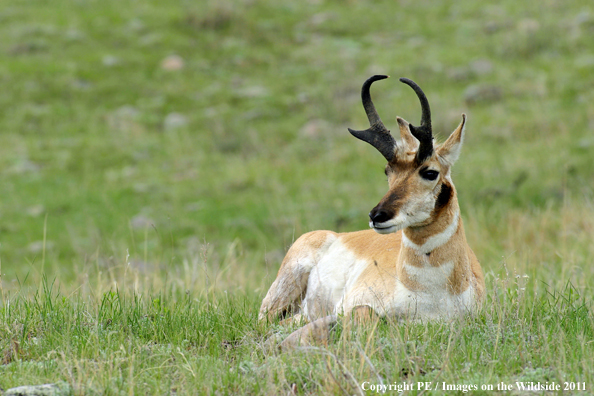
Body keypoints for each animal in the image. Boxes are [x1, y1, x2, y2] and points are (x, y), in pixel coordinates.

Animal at [260, 76, 480, 348]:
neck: (430, 292)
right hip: (282, 292)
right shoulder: (353, 306)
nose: (377, 216)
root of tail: (334, 235)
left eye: (430, 172)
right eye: (388, 171)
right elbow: (365, 315)